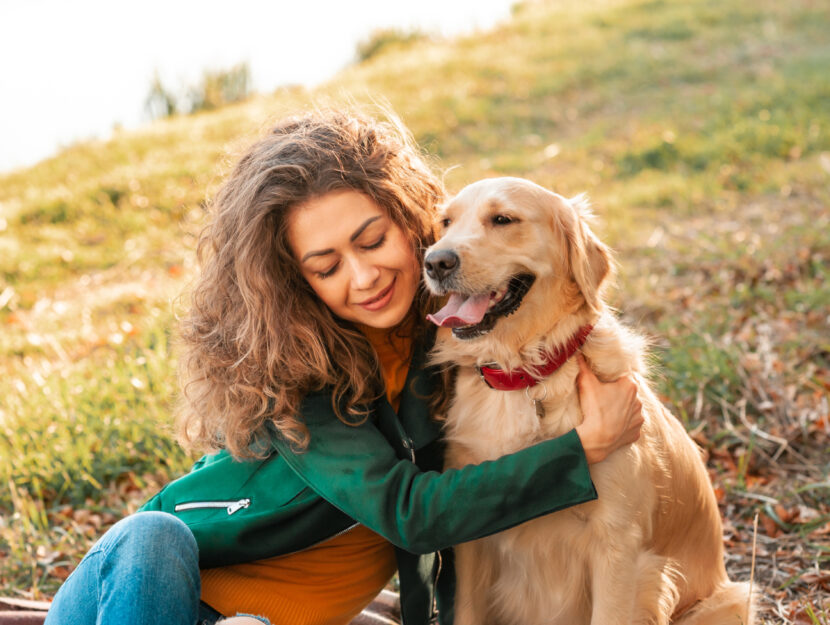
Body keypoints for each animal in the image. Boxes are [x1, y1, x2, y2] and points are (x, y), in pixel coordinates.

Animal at [426, 177, 756, 624]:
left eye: (503, 219)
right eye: (446, 222)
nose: (434, 262)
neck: (527, 374)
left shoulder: (618, 547)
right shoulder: (471, 541)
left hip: (728, 600)